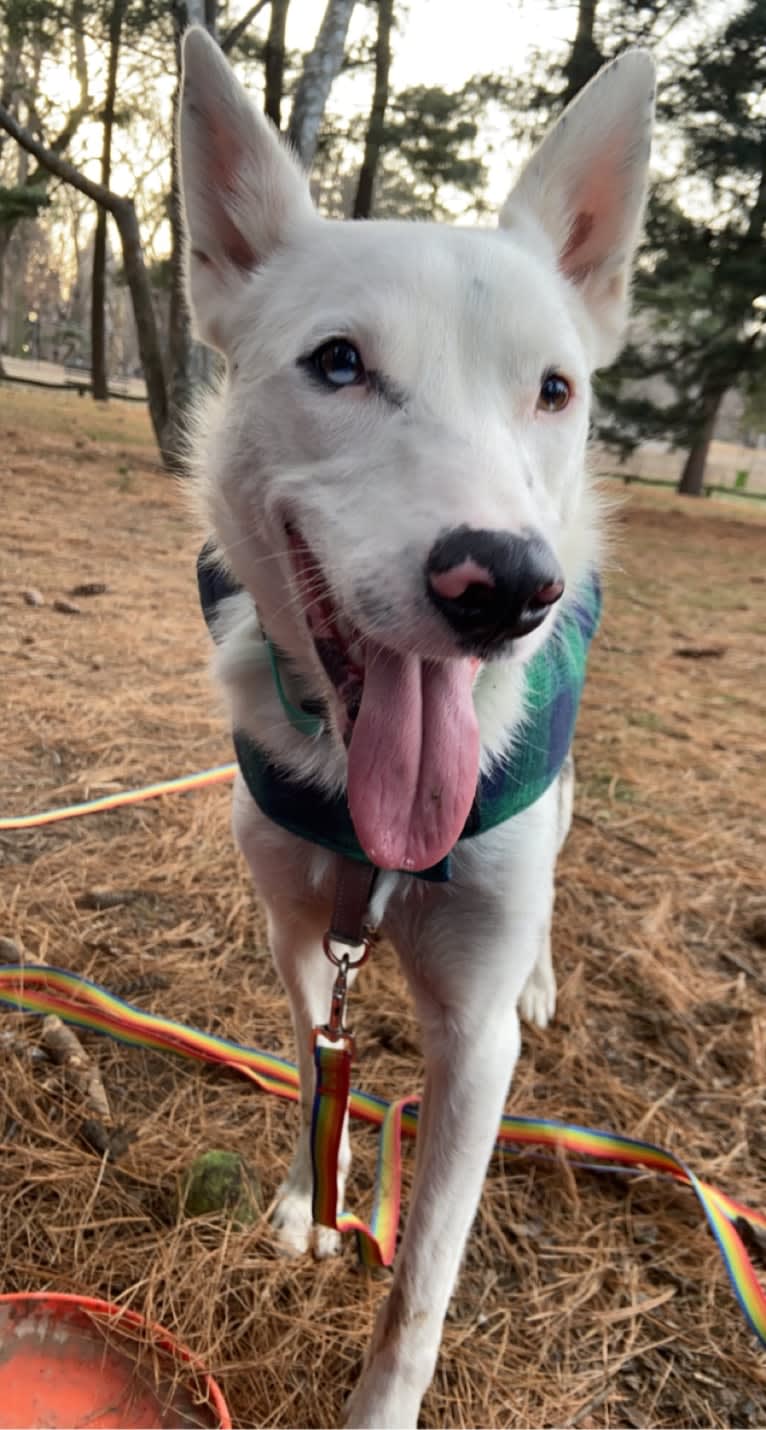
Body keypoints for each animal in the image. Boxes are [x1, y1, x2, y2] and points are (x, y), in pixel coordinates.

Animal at [177, 27, 651, 1424]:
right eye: (338, 361)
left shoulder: (473, 1044)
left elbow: (424, 1279)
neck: (358, 800)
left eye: (552, 390)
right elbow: (313, 1072)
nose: (504, 586)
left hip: (555, 787)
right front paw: (304, 1200)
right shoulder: (296, 941)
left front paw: (381, 1400)